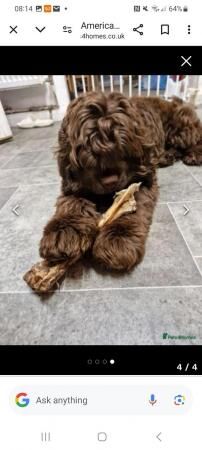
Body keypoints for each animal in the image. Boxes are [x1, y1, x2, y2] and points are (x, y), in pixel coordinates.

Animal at [39, 92, 202, 272]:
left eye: (122, 151)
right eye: (90, 154)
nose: (110, 181)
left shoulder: (142, 178)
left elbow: (131, 206)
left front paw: (118, 240)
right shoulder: (73, 182)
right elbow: (72, 203)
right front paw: (62, 233)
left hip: (182, 126)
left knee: (194, 139)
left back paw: (194, 154)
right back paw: (167, 156)